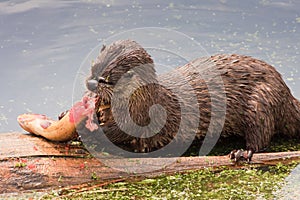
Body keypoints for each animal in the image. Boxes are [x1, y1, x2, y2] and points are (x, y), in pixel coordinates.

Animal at [85, 39, 300, 161]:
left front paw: (88, 130)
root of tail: (287, 94)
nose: (90, 84)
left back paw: (242, 152)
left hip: (260, 104)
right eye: (93, 68)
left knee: (261, 137)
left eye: (105, 79)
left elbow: (122, 134)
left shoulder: (144, 119)